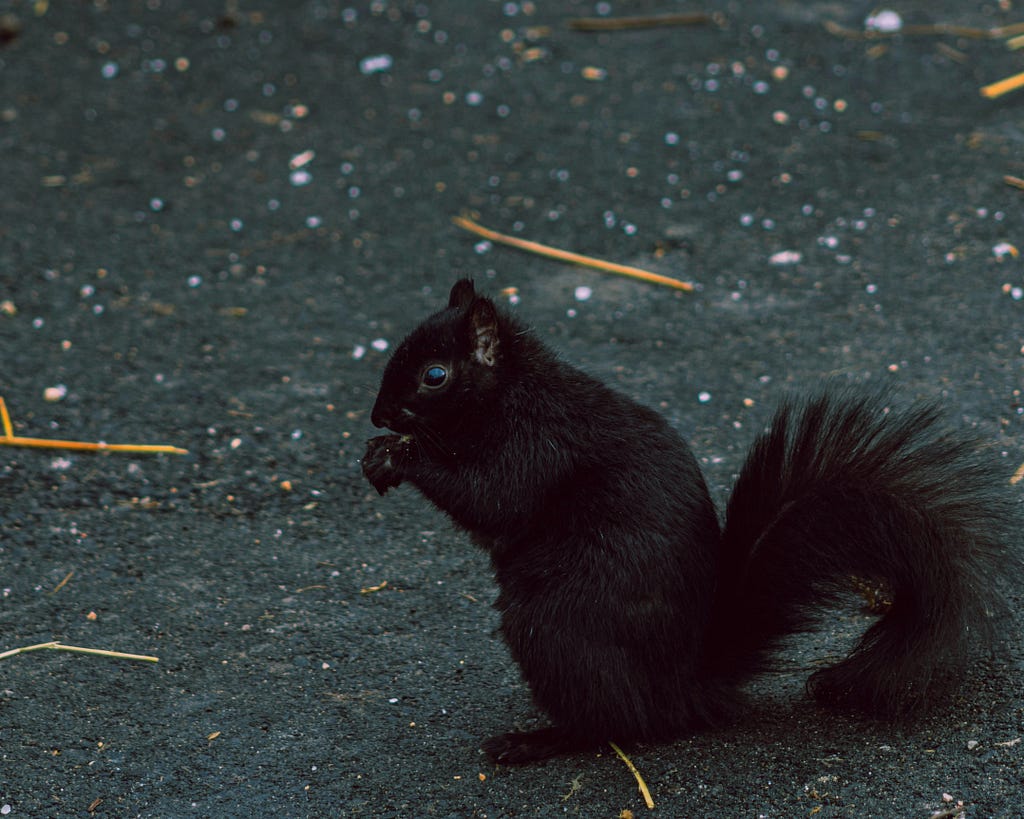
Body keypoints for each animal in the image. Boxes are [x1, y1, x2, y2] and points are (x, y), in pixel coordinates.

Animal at [360, 278, 1015, 765]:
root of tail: (686, 689)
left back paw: (537, 741)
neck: (513, 391)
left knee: (615, 723)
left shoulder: (539, 444)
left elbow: (492, 498)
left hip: (555, 628)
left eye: (435, 375)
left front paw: (400, 455)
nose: (378, 415)